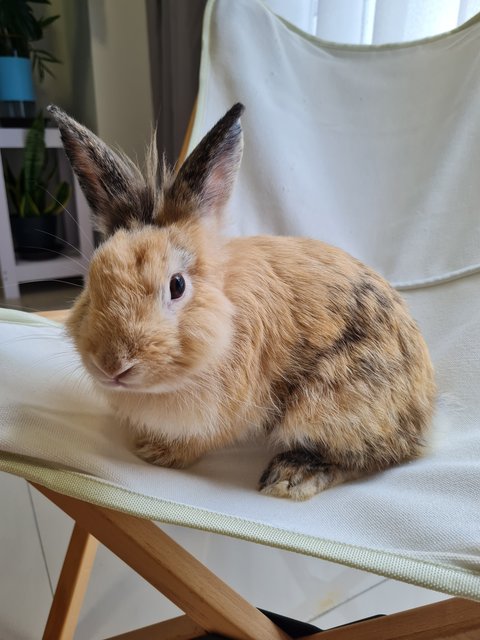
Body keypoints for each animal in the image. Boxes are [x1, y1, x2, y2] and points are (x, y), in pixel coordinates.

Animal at [47, 104, 436, 500]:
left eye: (177, 285)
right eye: (93, 280)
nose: (112, 365)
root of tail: (422, 412)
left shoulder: (227, 412)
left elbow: (202, 440)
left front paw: (156, 453)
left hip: (331, 401)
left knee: (375, 455)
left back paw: (290, 477)